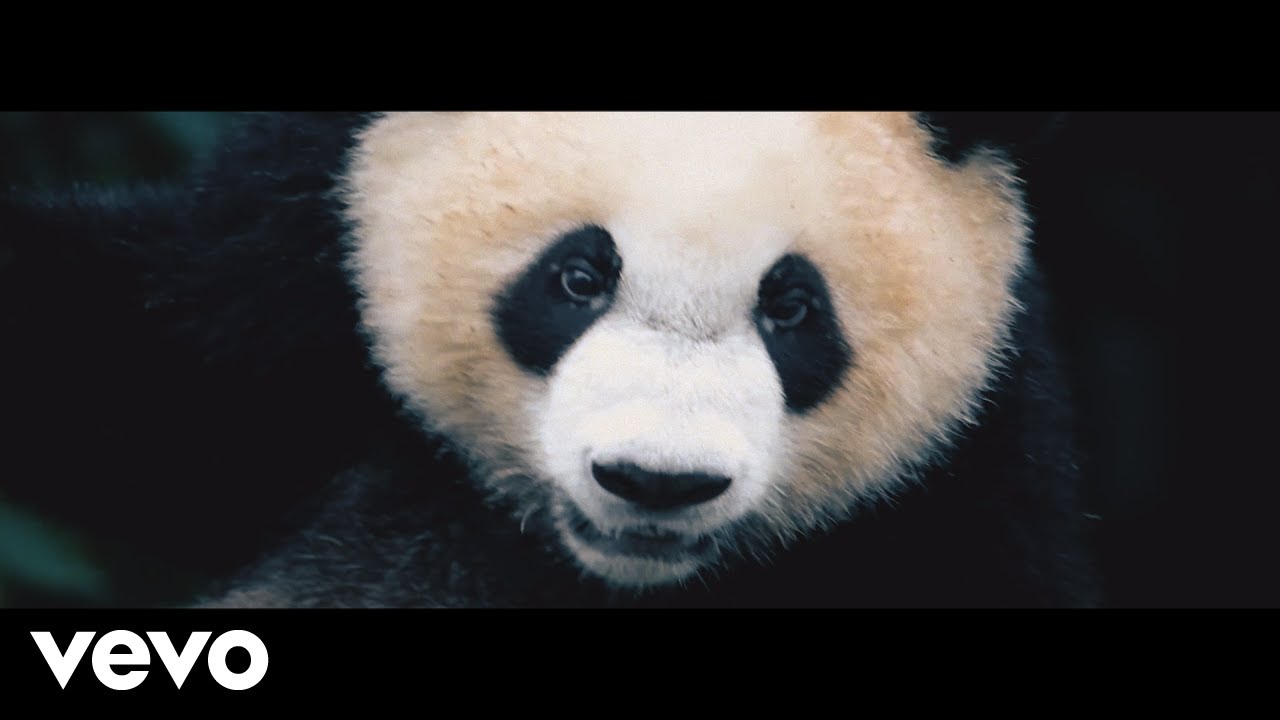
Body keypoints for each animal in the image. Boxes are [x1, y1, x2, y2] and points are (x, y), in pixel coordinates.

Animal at [0, 111, 1099, 608]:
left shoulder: (967, 500)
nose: (657, 483)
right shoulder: (288, 279)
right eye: (577, 277)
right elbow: (131, 374)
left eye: (792, 307)